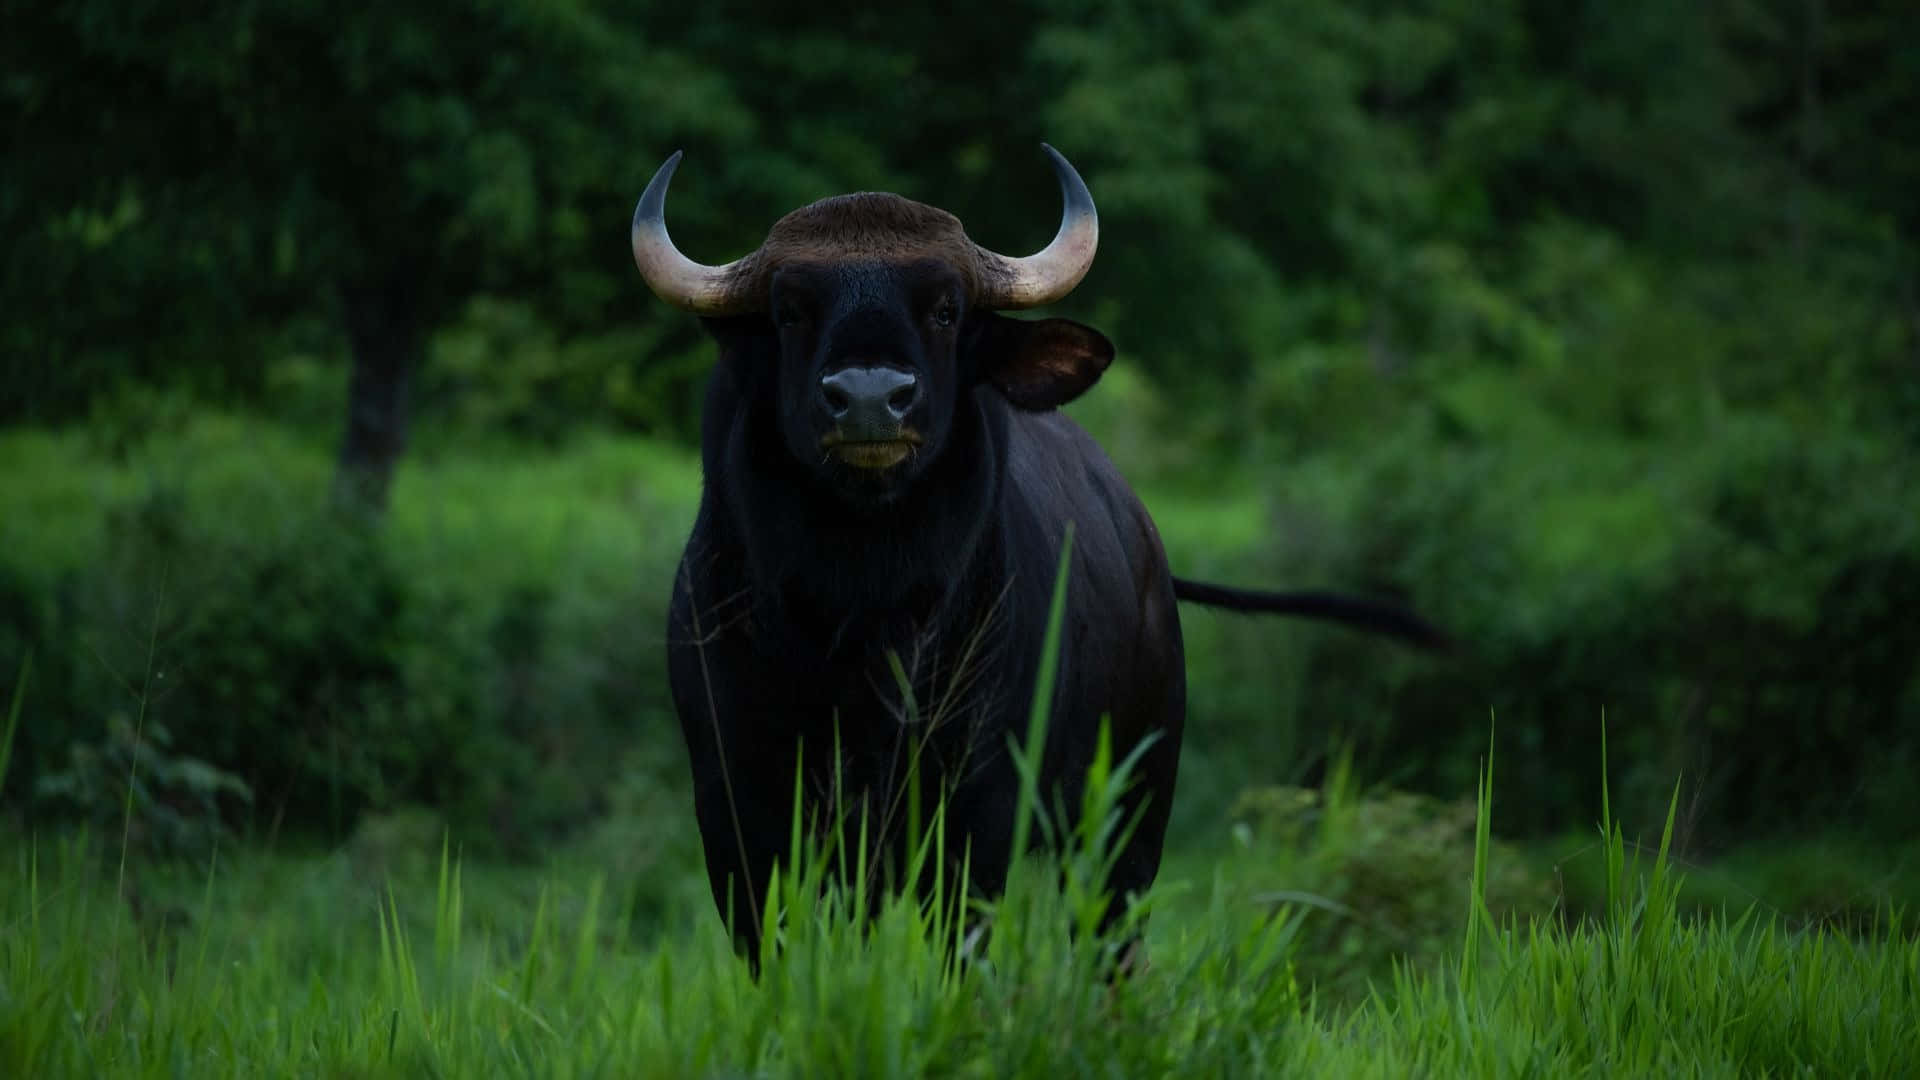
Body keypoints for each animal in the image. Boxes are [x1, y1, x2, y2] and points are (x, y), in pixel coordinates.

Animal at [630, 146, 1443, 970]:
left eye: (946, 309)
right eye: (791, 309)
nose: (868, 397)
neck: (863, 613)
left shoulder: (979, 806)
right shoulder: (738, 807)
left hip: (1131, 811)